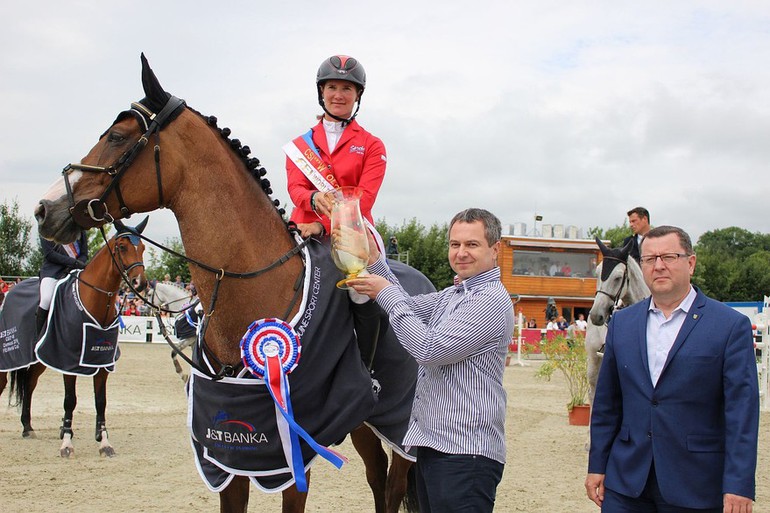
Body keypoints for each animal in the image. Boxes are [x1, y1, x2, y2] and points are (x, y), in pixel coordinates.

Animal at [0, 219, 148, 456]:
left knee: (30, 385)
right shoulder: (67, 360)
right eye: (122, 247)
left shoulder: (102, 361)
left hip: (39, 360)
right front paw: (67, 443)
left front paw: (104, 442)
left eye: (142, 247)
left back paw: (27, 427)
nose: (139, 283)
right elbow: (70, 400)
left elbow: (101, 401)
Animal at [36, 54, 420, 510]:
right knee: (377, 479)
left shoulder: (292, 449)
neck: (255, 288)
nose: (45, 209)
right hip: (361, 421)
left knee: (393, 486)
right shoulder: (232, 454)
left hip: (403, 422)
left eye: (115, 136)